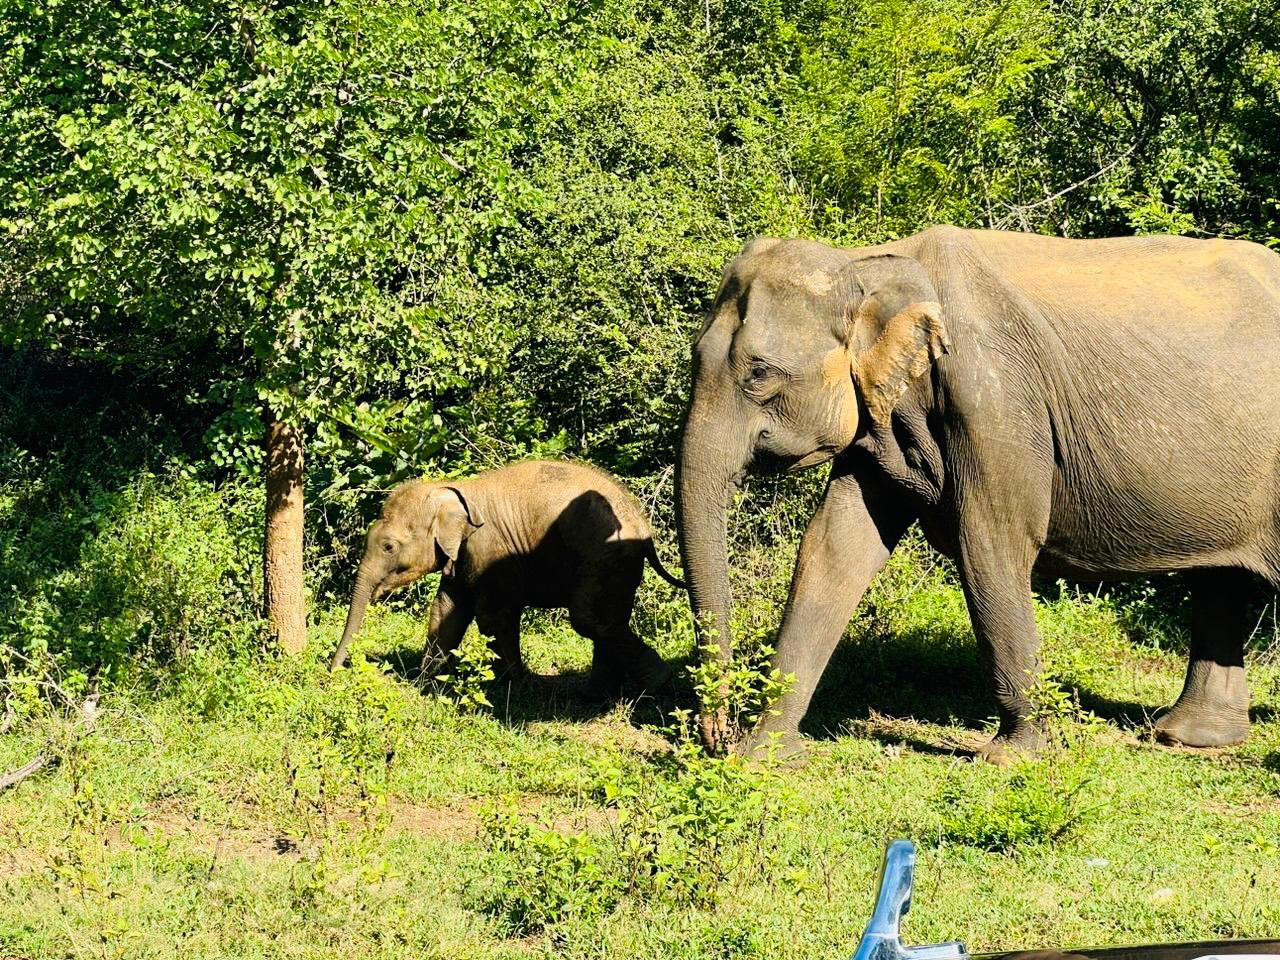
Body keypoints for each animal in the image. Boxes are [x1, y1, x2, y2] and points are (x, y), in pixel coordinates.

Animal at [332, 459, 685, 700]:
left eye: (389, 547)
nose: (332, 671)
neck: (454, 488)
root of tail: (644, 523)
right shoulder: (462, 556)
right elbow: (446, 612)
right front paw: (422, 685)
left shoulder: (488, 548)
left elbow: (493, 616)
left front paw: (518, 686)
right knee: (607, 620)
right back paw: (595, 695)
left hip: (606, 558)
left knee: (589, 619)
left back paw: (656, 684)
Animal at [676, 226, 1280, 761]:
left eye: (759, 374)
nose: (715, 735)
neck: (868, 262)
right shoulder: (881, 416)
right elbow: (833, 548)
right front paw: (763, 758)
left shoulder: (994, 398)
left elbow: (990, 541)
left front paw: (1012, 758)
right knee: (1222, 583)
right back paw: (1188, 738)